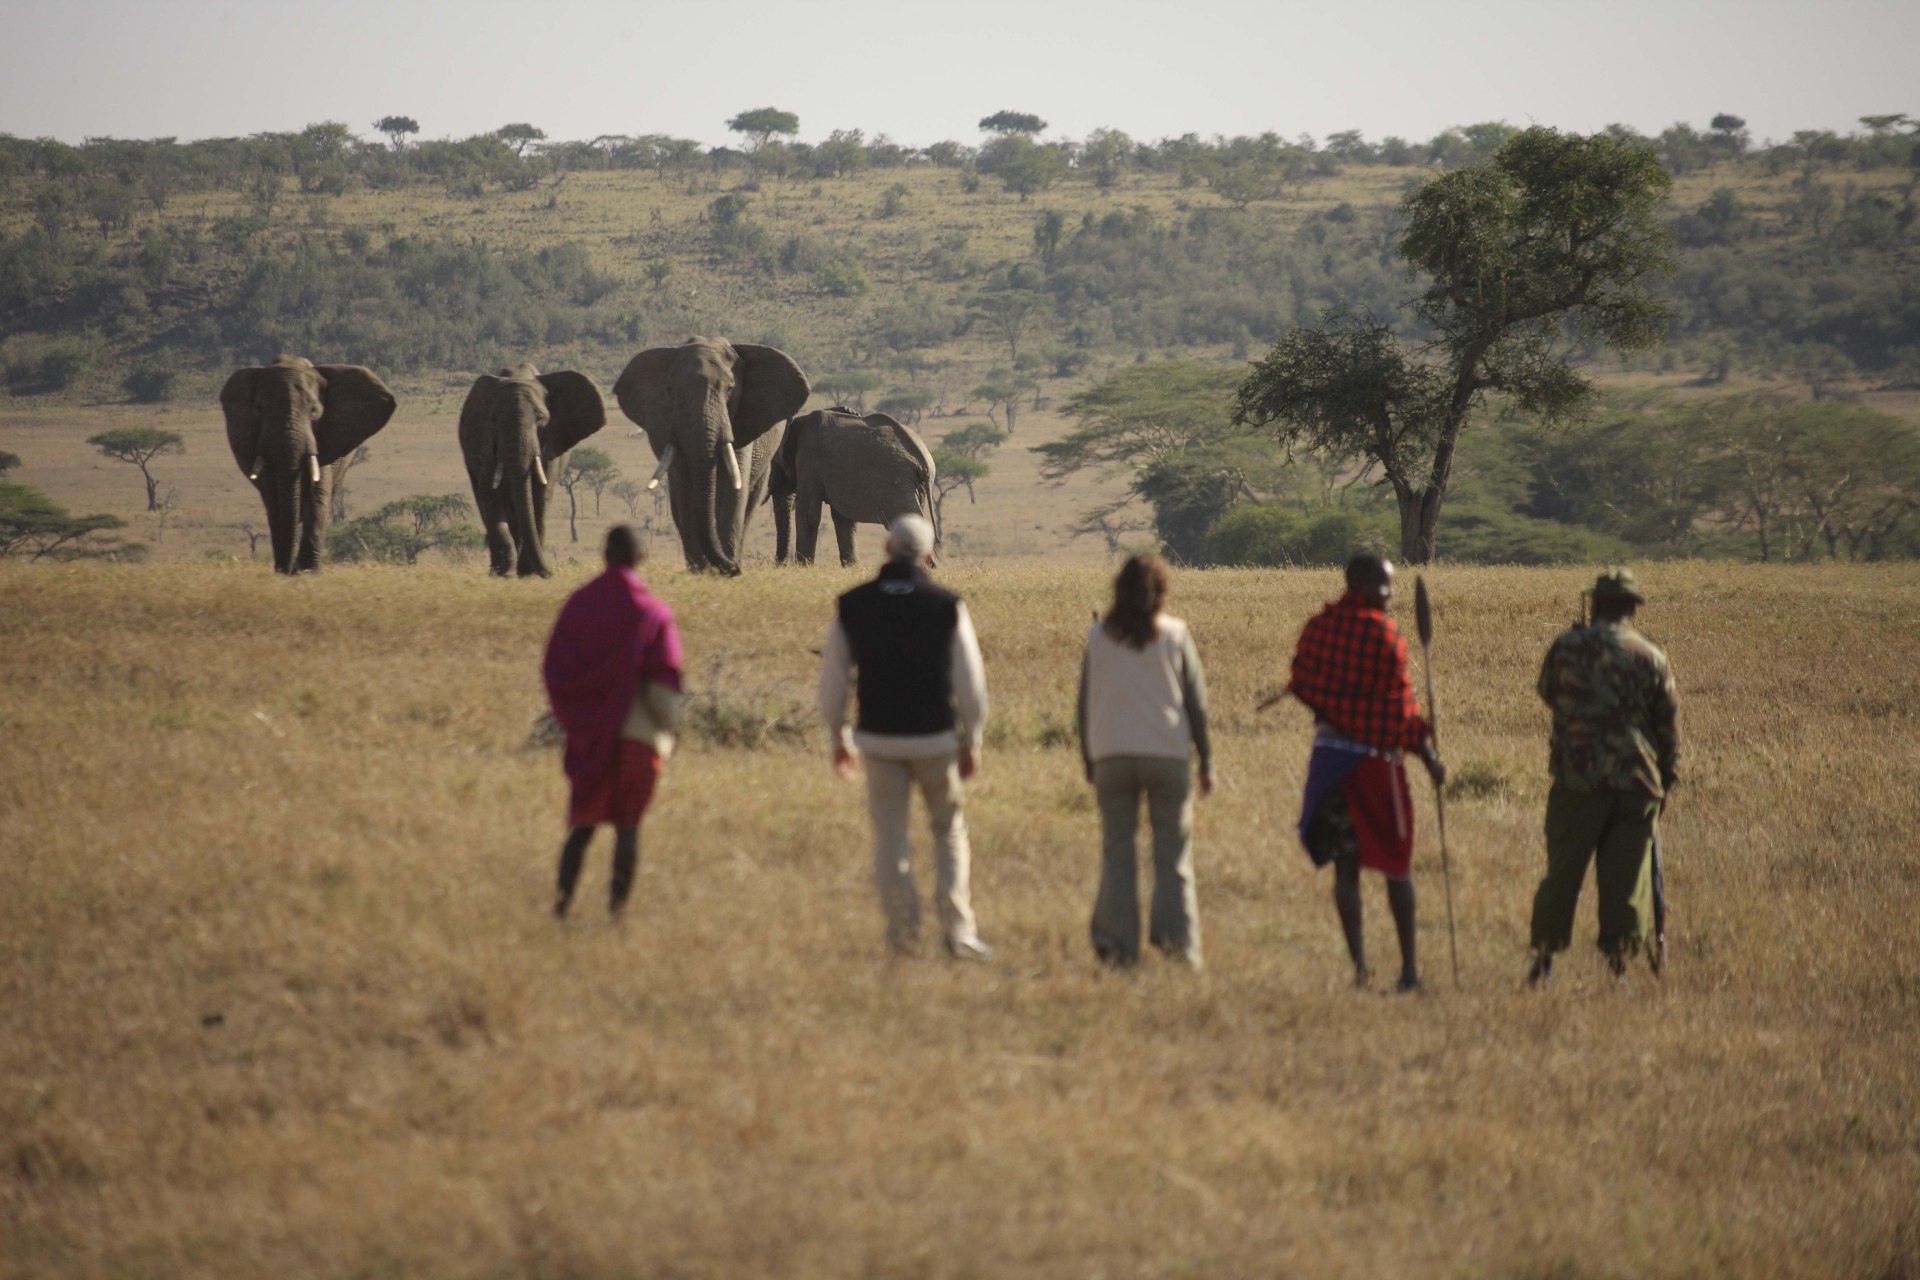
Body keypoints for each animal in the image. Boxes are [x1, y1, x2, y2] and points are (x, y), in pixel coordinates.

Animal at [219, 351, 395, 571]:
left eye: (314, 411)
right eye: (260, 409)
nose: (286, 570)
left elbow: (318, 492)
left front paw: (308, 572)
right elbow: (272, 497)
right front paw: (286, 571)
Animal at [456, 362, 606, 579]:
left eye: (540, 418)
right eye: (494, 420)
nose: (549, 573)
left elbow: (540, 496)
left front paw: (528, 574)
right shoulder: (485, 443)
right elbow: (490, 495)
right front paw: (503, 575)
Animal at [606, 339, 802, 579]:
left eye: (730, 389)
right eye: (670, 390)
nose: (734, 569)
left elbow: (732, 493)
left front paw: (724, 570)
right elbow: (683, 494)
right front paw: (701, 570)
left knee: (750, 500)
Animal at [771, 404, 936, 564]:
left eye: (775, 465)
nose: (781, 565)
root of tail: (923, 461)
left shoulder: (808, 461)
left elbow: (808, 515)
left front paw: (803, 567)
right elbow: (843, 519)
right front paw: (851, 566)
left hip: (898, 484)